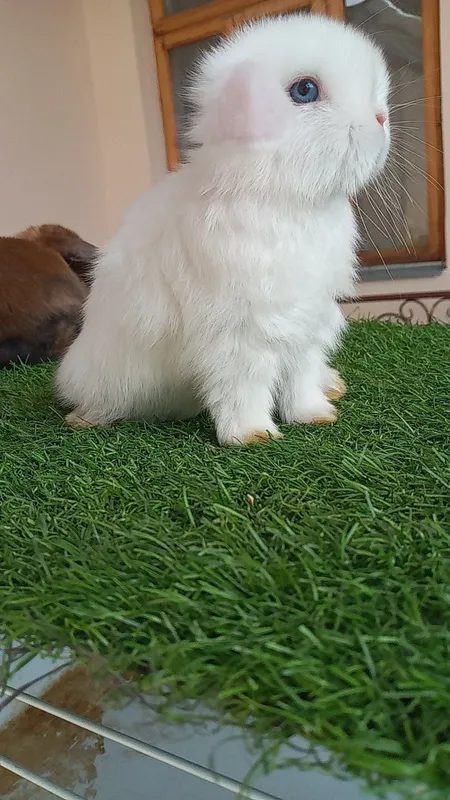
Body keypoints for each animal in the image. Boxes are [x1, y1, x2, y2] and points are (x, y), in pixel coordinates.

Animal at [56, 14, 390, 445]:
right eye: (305, 90)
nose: (382, 117)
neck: (283, 199)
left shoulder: (306, 326)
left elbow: (300, 381)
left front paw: (315, 416)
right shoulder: (237, 335)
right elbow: (243, 387)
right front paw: (252, 436)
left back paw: (333, 386)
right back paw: (83, 418)